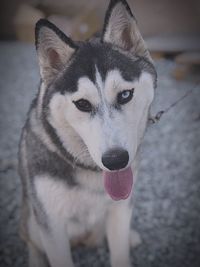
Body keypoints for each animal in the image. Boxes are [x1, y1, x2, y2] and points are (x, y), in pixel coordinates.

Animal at [18, 0, 156, 267]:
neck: (90, 172)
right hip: (32, 220)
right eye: (82, 104)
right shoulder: (51, 224)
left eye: (125, 95)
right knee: (31, 241)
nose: (116, 160)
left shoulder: (120, 210)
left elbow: (120, 252)